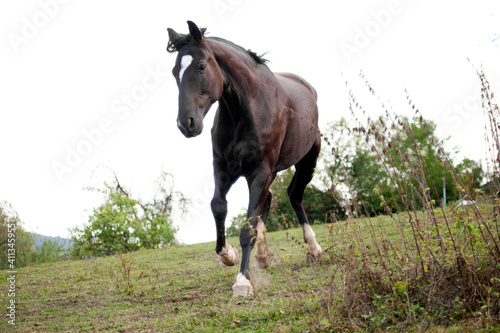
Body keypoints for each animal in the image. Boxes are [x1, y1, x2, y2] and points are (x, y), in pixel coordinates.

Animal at [168, 20, 322, 296]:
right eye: (176, 71)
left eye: (201, 66)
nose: (186, 124)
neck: (245, 108)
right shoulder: (223, 168)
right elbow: (219, 206)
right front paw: (227, 254)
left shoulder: (259, 171)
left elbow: (248, 225)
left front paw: (243, 280)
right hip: (273, 172)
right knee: (268, 201)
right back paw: (262, 255)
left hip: (307, 161)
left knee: (294, 195)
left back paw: (313, 248)